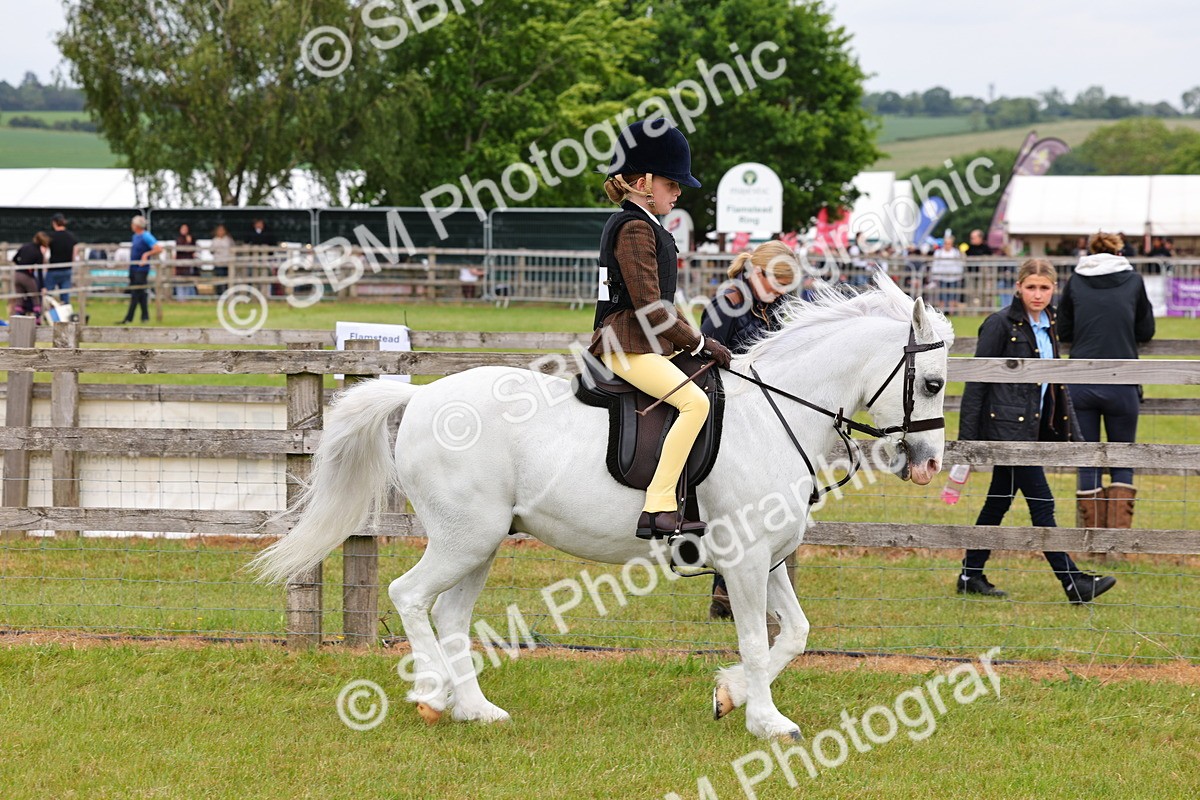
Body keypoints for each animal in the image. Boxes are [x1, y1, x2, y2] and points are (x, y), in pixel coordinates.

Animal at [252, 277, 953, 740]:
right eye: (935, 382)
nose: (927, 464)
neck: (775, 413)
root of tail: (420, 397)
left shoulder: (769, 558)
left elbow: (797, 634)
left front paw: (729, 696)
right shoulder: (746, 560)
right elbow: (758, 640)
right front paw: (765, 721)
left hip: (481, 543)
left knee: (449, 615)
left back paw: (477, 710)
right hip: (463, 538)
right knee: (409, 596)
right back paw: (430, 696)